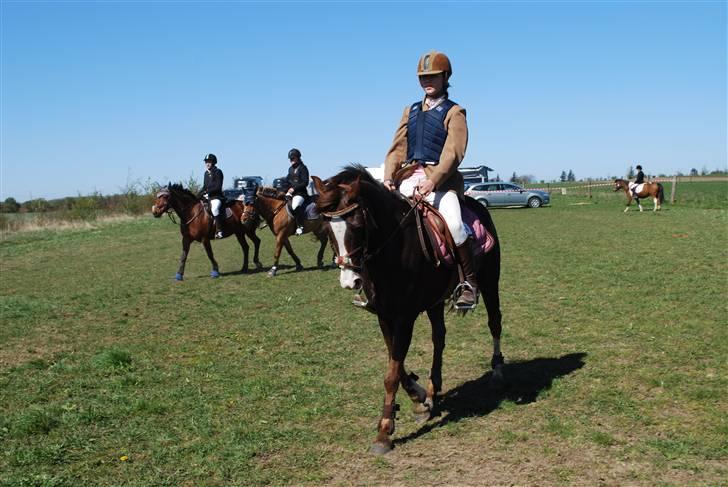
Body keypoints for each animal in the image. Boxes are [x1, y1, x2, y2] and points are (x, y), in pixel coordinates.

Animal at [312, 166, 506, 456]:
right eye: (326, 228)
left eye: (357, 225)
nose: (350, 281)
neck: (393, 247)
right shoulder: (384, 316)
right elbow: (397, 363)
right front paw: (419, 398)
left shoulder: (405, 317)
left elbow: (392, 373)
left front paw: (383, 433)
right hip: (435, 301)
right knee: (439, 338)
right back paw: (433, 390)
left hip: (490, 280)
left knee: (495, 322)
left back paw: (497, 370)